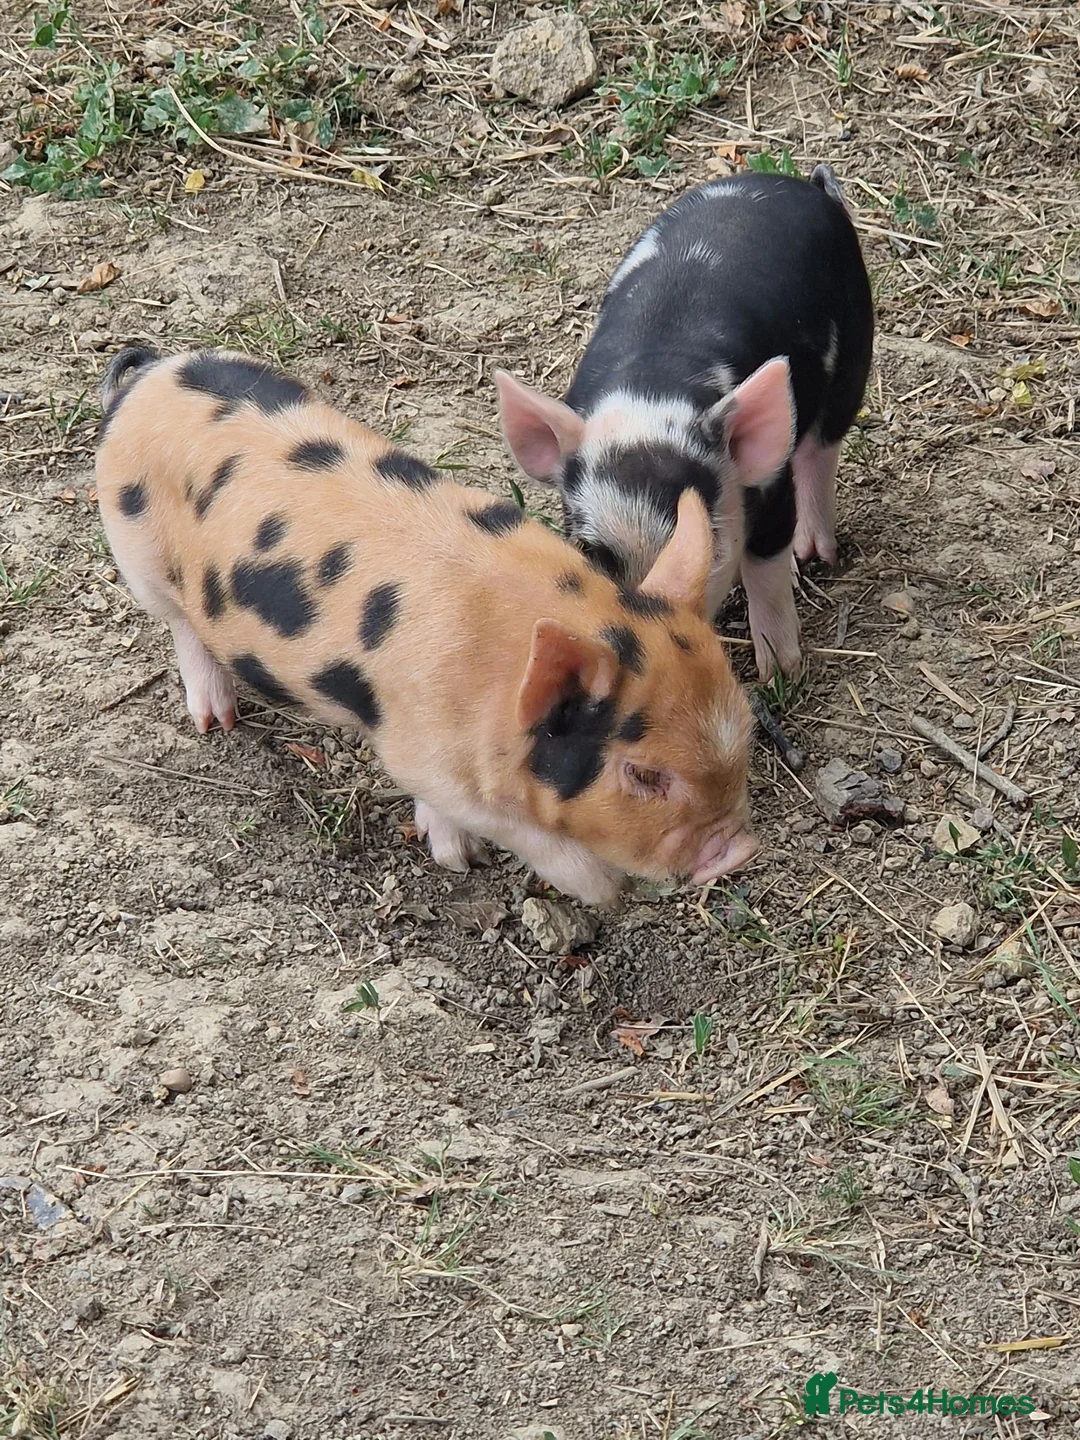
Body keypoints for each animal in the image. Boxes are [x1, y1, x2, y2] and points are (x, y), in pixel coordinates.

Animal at [94, 345, 760, 908]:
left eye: (747, 729)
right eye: (644, 774)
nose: (738, 850)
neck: (497, 680)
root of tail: (149, 376)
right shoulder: (416, 752)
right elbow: (534, 841)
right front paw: (515, 872)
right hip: (137, 557)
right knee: (181, 625)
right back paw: (216, 721)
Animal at [494, 164, 874, 680]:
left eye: (706, 549)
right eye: (592, 554)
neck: (652, 393)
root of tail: (798, 185)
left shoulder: (770, 486)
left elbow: (765, 564)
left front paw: (781, 670)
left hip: (854, 345)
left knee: (821, 450)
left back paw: (814, 554)